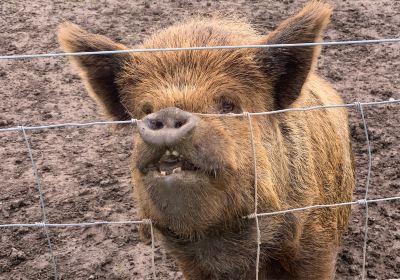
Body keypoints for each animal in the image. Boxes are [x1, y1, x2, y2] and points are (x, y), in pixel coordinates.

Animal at [57, 1, 354, 278]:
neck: (224, 245)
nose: (168, 113)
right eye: (145, 109)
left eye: (228, 104)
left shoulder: (317, 242)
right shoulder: (189, 263)